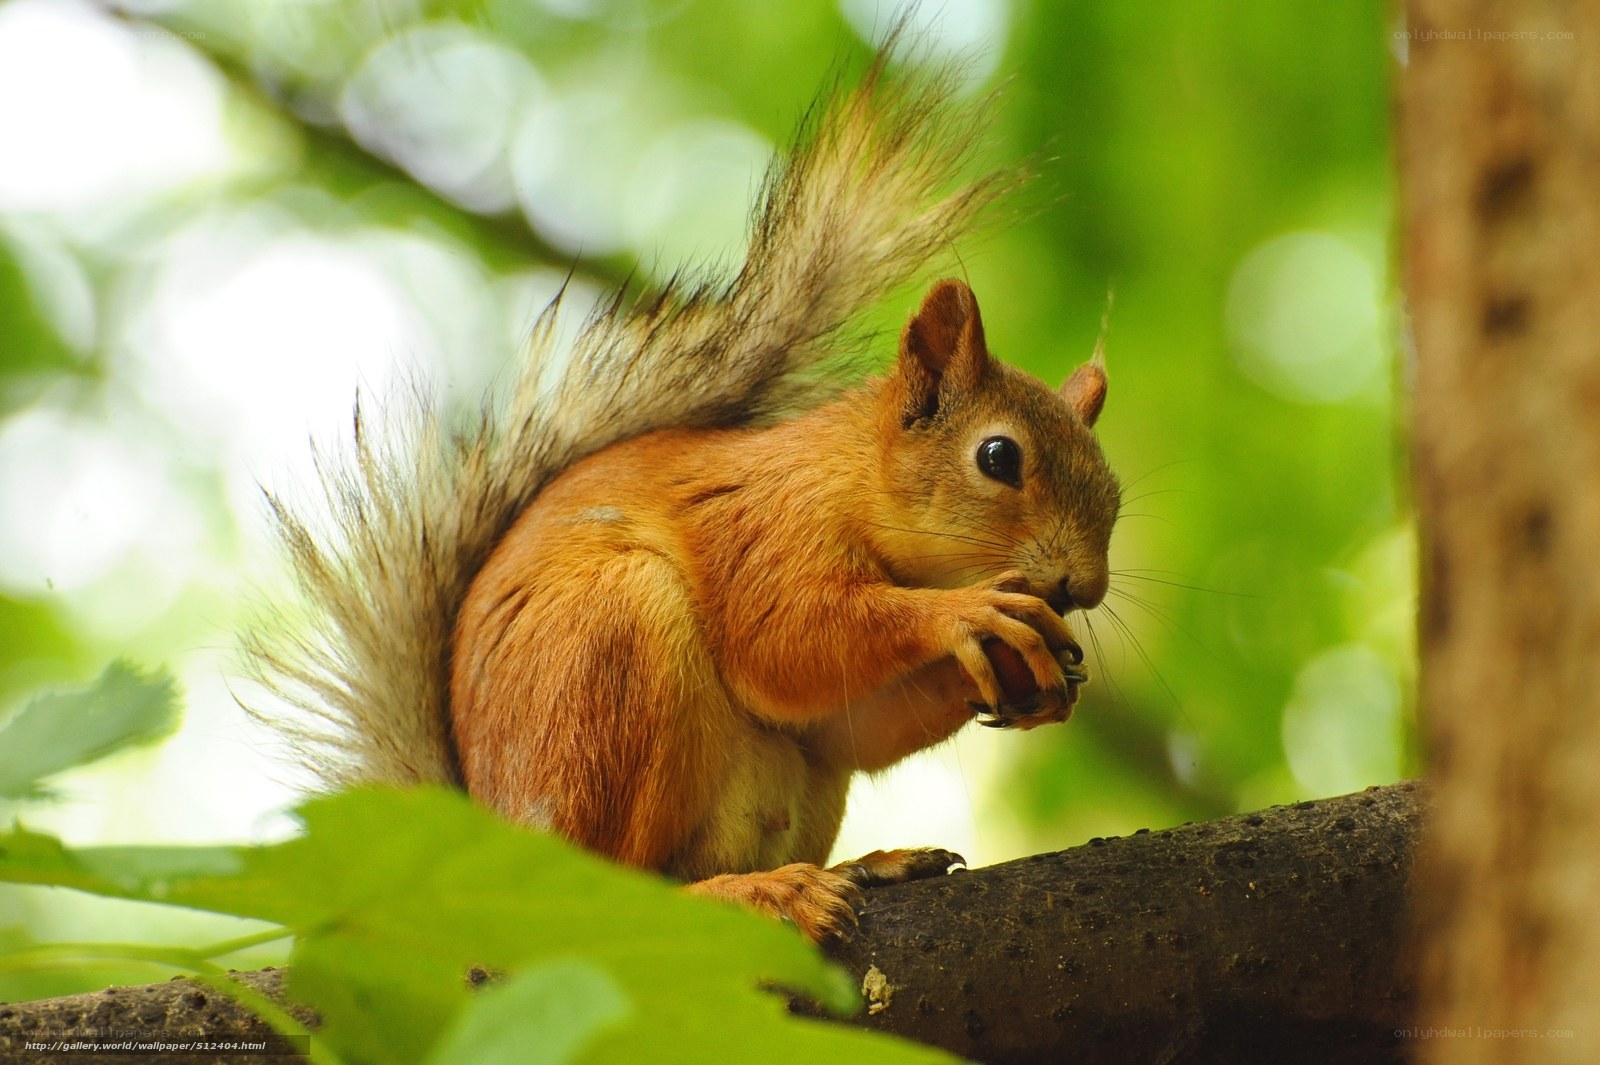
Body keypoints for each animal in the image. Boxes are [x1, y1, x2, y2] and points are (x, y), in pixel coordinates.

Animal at [242, 41, 1121, 943]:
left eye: (1114, 487)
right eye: (998, 456)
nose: (1084, 586)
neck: (847, 479)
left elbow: (850, 724)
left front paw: (1038, 675)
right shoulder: (761, 528)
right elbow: (787, 639)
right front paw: (968, 614)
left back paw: (864, 866)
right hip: (611, 658)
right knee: (617, 889)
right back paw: (758, 892)